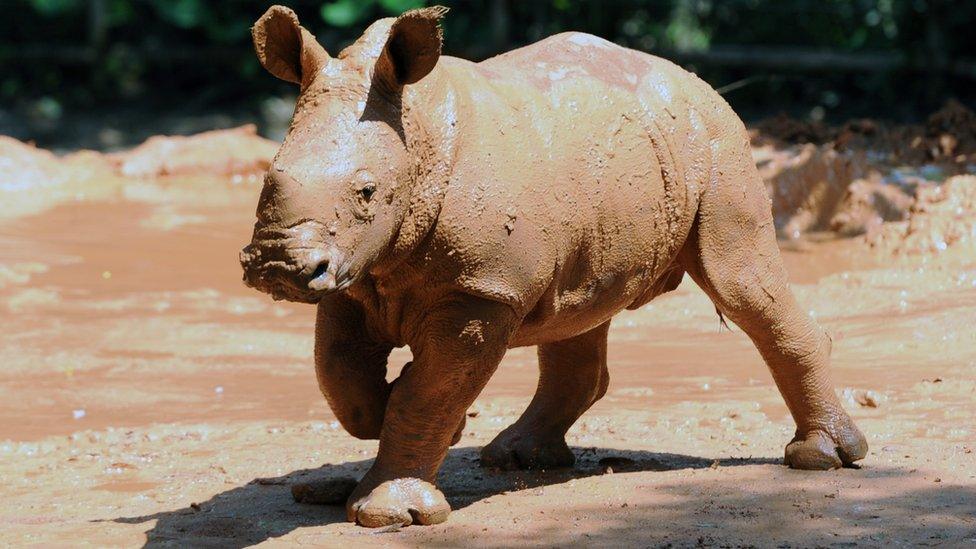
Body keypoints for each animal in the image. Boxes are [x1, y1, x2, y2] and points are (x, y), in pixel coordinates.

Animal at [240, 5, 864, 528]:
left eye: (367, 193)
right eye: (268, 178)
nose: (276, 266)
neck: (419, 138)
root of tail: (692, 80)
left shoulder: (482, 290)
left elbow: (429, 390)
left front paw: (391, 514)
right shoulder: (353, 276)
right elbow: (341, 376)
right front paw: (407, 417)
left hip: (718, 147)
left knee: (740, 282)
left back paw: (822, 458)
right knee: (579, 308)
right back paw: (518, 459)